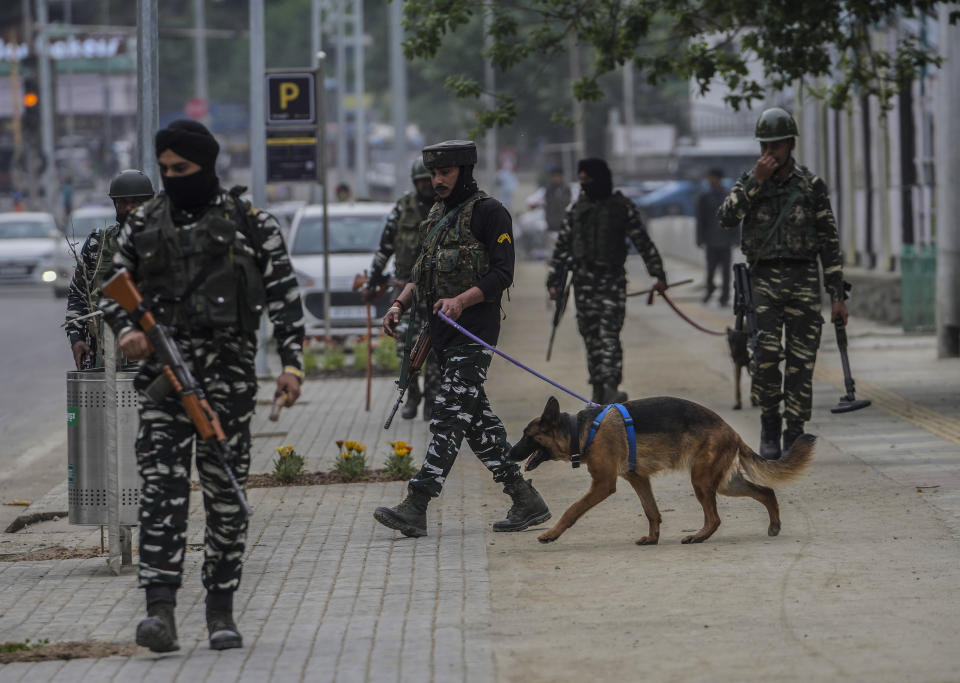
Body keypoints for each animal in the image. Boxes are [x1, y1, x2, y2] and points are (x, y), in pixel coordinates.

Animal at [506, 396, 812, 544]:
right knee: (766, 491)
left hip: (702, 481)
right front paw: (653, 538)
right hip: (726, 483)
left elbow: (572, 510)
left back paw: (698, 536)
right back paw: (774, 525)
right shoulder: (638, 479)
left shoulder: (603, 484)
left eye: (526, 436)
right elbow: (651, 510)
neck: (580, 429)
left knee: (714, 518)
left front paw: (552, 533)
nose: (508, 453)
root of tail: (731, 431)